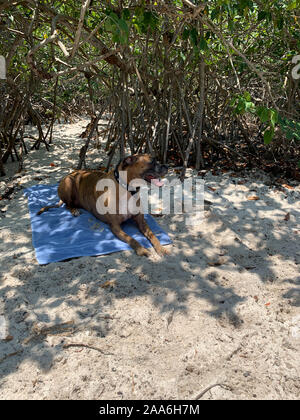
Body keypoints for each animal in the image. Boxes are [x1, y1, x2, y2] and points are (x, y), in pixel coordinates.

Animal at [36, 156, 170, 258]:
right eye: (152, 161)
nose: (167, 166)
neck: (127, 190)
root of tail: (72, 172)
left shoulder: (141, 222)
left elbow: (153, 235)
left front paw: (160, 248)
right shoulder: (115, 227)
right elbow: (132, 239)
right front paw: (142, 250)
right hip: (69, 183)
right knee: (67, 205)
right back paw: (74, 211)